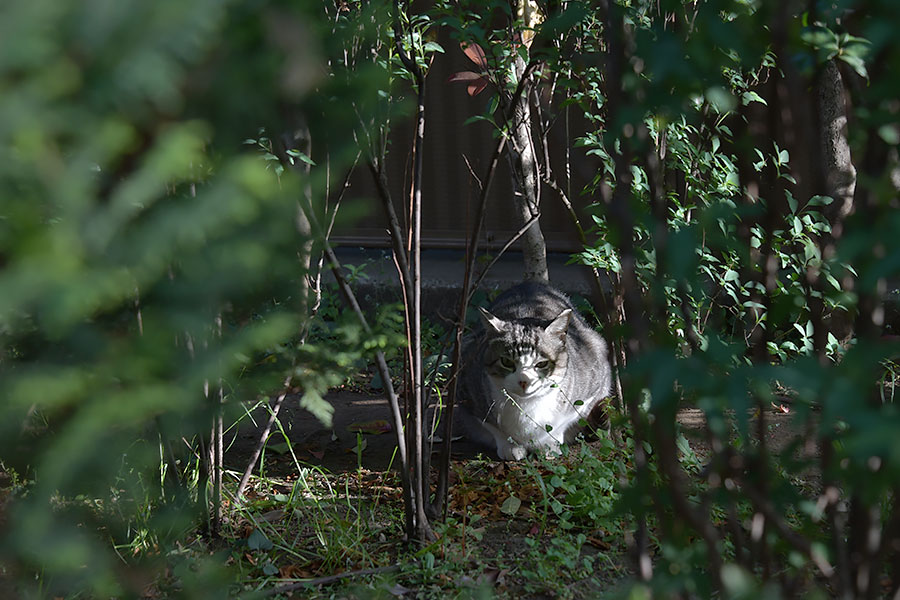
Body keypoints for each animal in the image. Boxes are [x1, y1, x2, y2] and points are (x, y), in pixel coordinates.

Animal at [458, 282, 612, 460]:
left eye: (541, 364)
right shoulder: (467, 389)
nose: (524, 381)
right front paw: (510, 446)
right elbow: (493, 427)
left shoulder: (595, 379)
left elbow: (563, 421)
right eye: (506, 361)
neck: (526, 406)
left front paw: (549, 444)